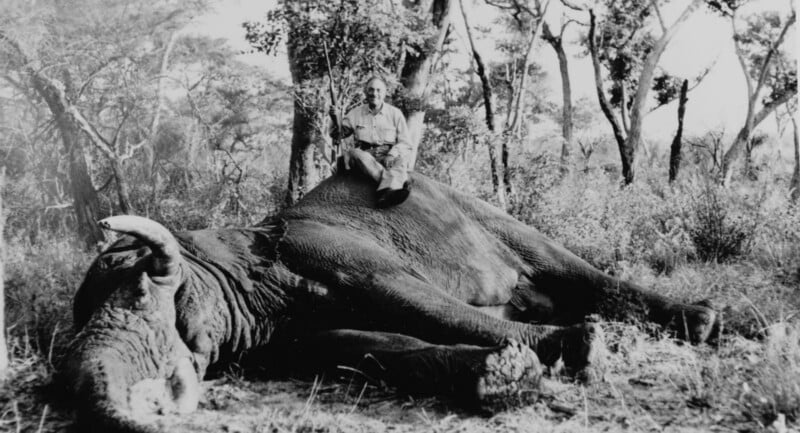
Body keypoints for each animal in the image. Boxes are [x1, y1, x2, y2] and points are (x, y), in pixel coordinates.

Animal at [62, 166, 719, 432]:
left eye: (148, 287)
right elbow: (358, 347)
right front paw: (502, 376)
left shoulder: (326, 247)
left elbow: (408, 299)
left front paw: (579, 351)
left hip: (475, 206)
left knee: (571, 267)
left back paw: (703, 321)